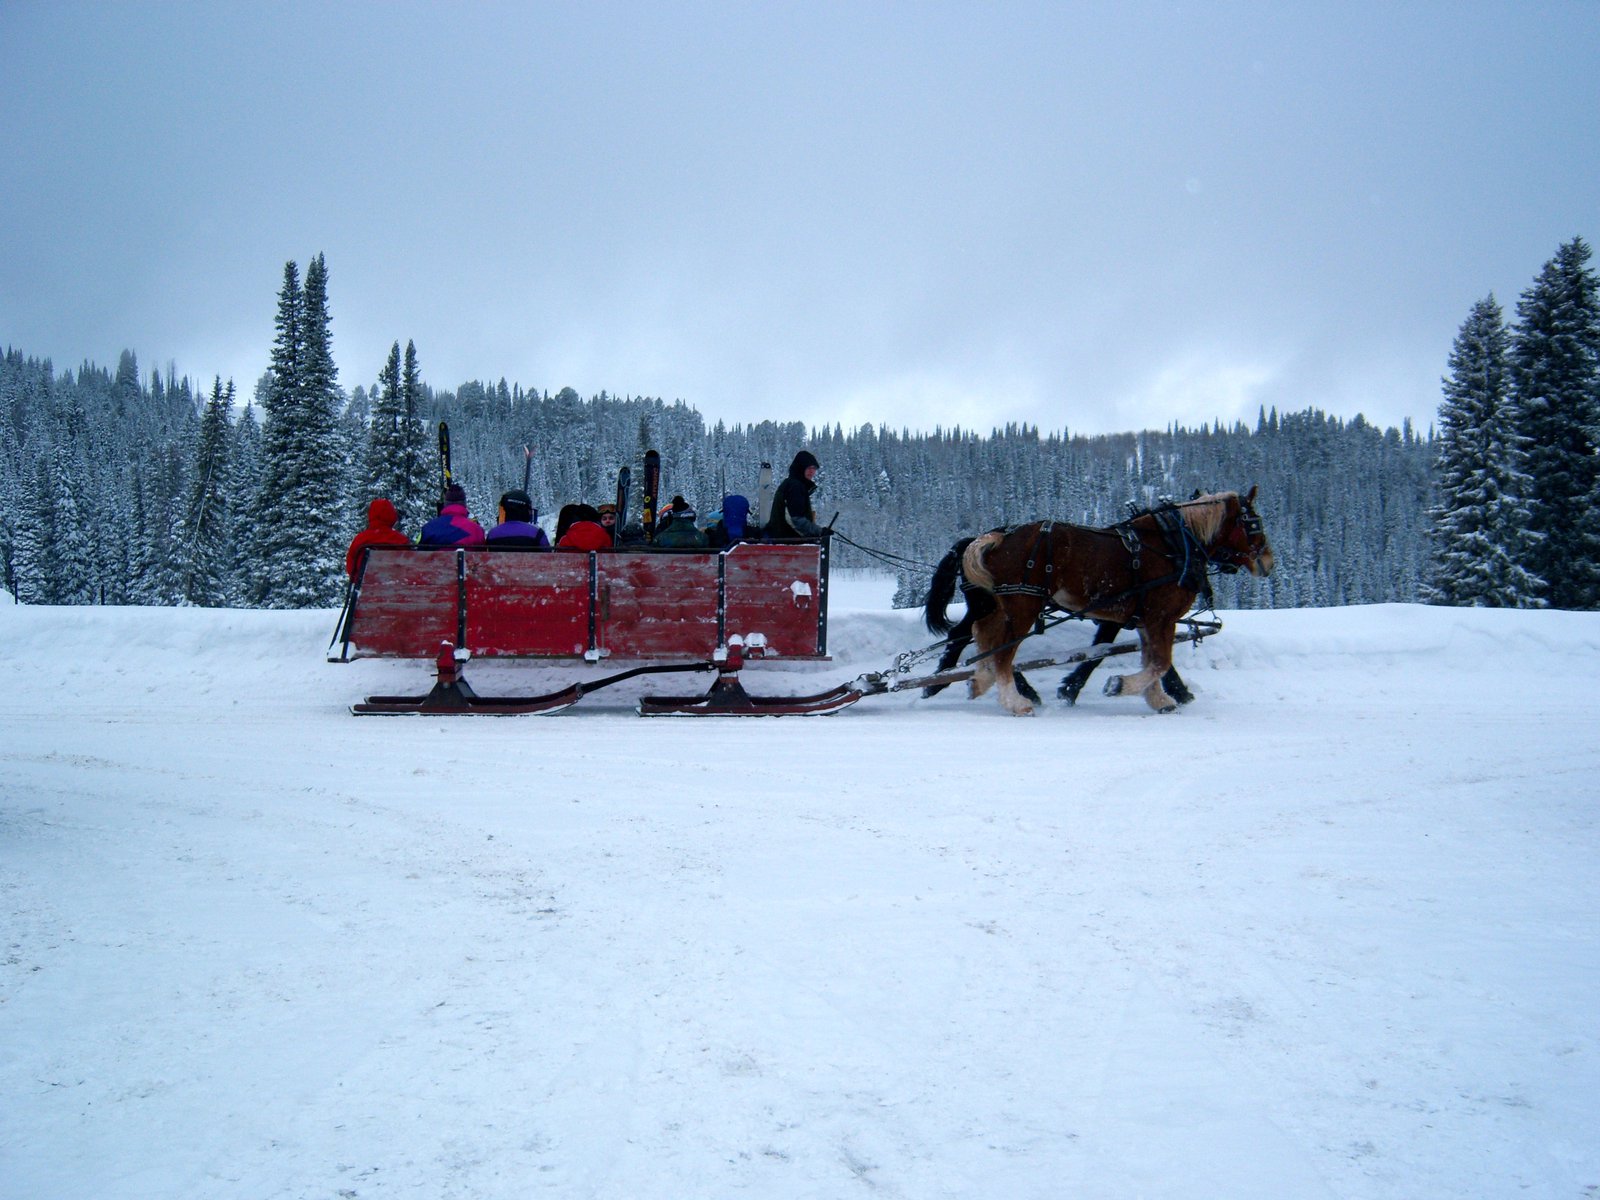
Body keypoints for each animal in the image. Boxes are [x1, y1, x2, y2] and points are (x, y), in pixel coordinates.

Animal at [928, 489, 1273, 713]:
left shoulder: (1140, 618)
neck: (1174, 545)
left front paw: (1160, 699)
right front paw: (1121, 686)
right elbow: (1157, 661)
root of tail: (994, 537)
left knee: (978, 637)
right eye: (1254, 523)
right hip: (1022, 605)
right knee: (998, 651)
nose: (1268, 563)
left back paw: (967, 681)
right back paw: (1014, 700)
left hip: (998, 605)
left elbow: (1143, 658)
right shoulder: (1160, 616)